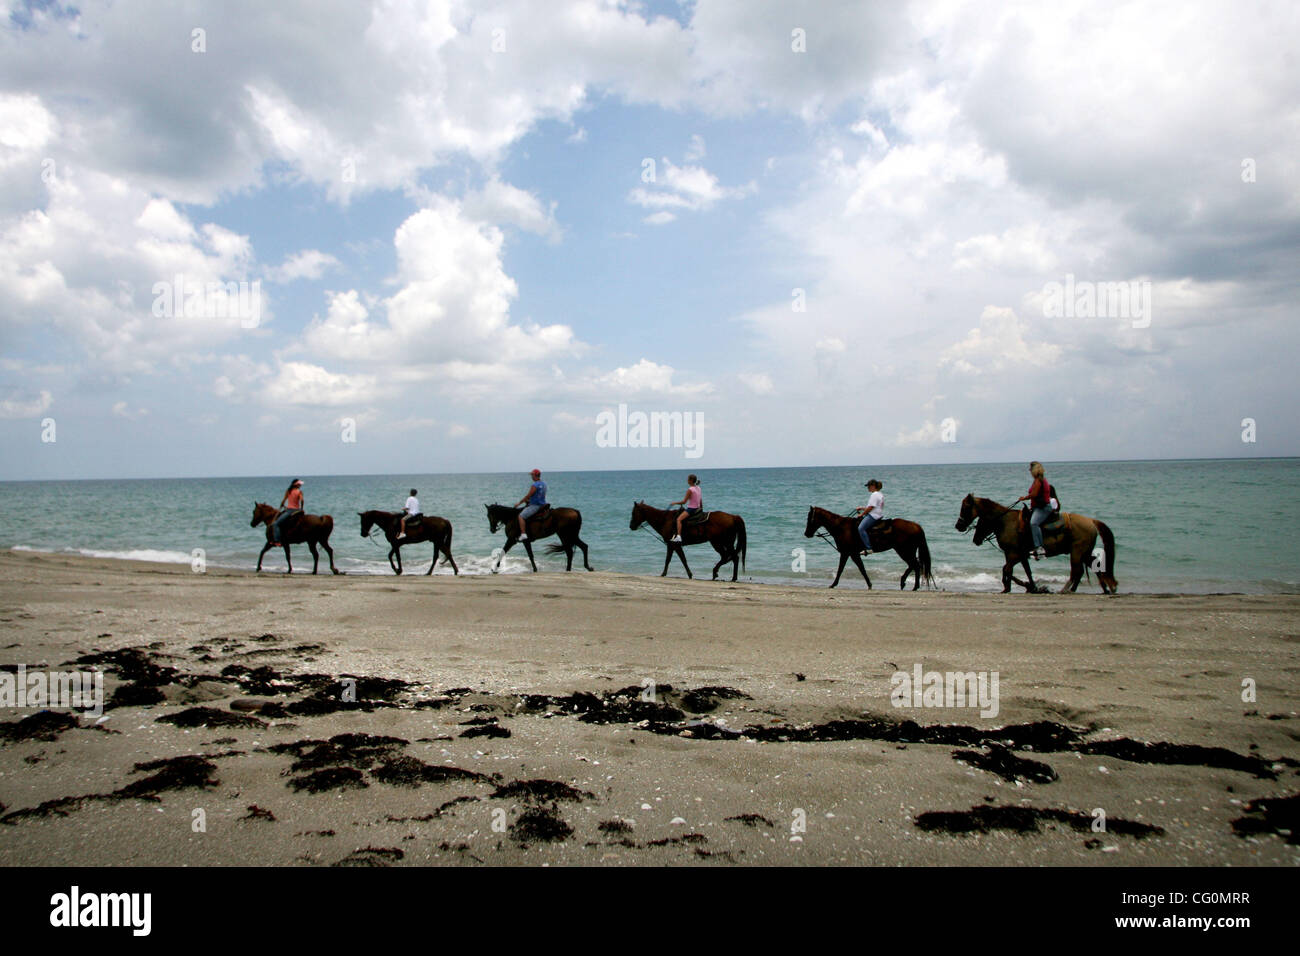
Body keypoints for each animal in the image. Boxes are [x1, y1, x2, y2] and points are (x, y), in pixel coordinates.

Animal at [800, 509, 935, 590]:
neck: (841, 528)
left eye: (810, 518)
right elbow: (859, 569)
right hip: (905, 551)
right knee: (915, 565)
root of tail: (916, 526)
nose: (806, 533)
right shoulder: (851, 553)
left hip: (904, 551)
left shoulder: (848, 553)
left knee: (915, 565)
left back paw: (911, 585)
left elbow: (845, 569)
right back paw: (907, 584)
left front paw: (833, 584)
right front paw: (869, 584)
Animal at [956, 496, 1118, 595]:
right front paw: (1029, 587)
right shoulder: (1019, 555)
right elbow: (1024, 571)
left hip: (1077, 552)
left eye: (965, 508)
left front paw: (1015, 586)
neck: (1006, 522)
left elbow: (1007, 569)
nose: (959, 526)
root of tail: (1091, 521)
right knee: (1093, 567)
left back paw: (1066, 589)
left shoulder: (1014, 554)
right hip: (1084, 552)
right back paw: (1104, 589)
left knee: (1077, 571)